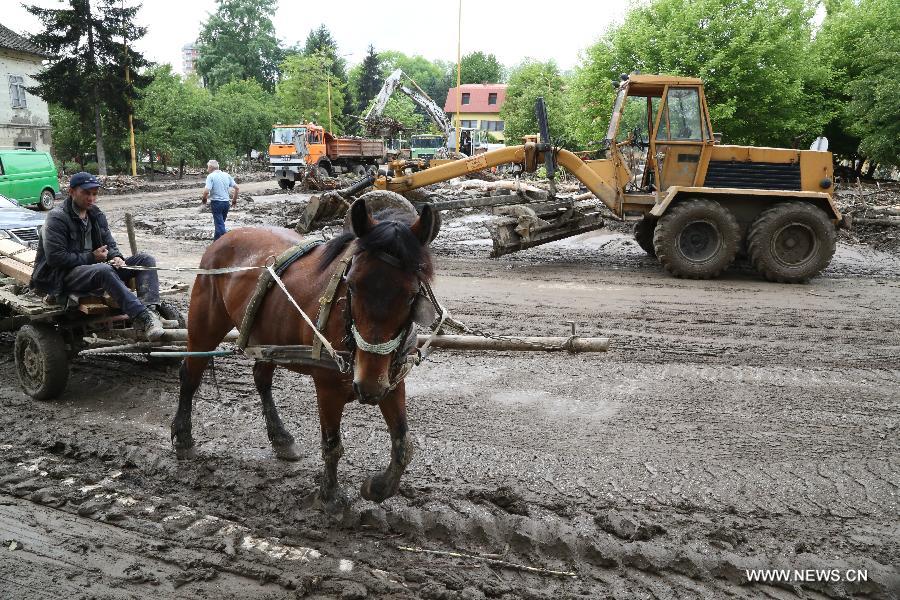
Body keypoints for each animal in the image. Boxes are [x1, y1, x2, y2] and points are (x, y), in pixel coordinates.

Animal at [173, 199, 440, 504]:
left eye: (411, 294)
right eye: (352, 285)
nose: (368, 385)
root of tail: (223, 239)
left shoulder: (391, 380)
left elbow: (402, 445)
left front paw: (378, 487)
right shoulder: (328, 385)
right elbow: (332, 444)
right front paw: (331, 496)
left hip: (268, 337)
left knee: (261, 378)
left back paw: (281, 438)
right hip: (204, 327)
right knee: (190, 375)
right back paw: (183, 437)